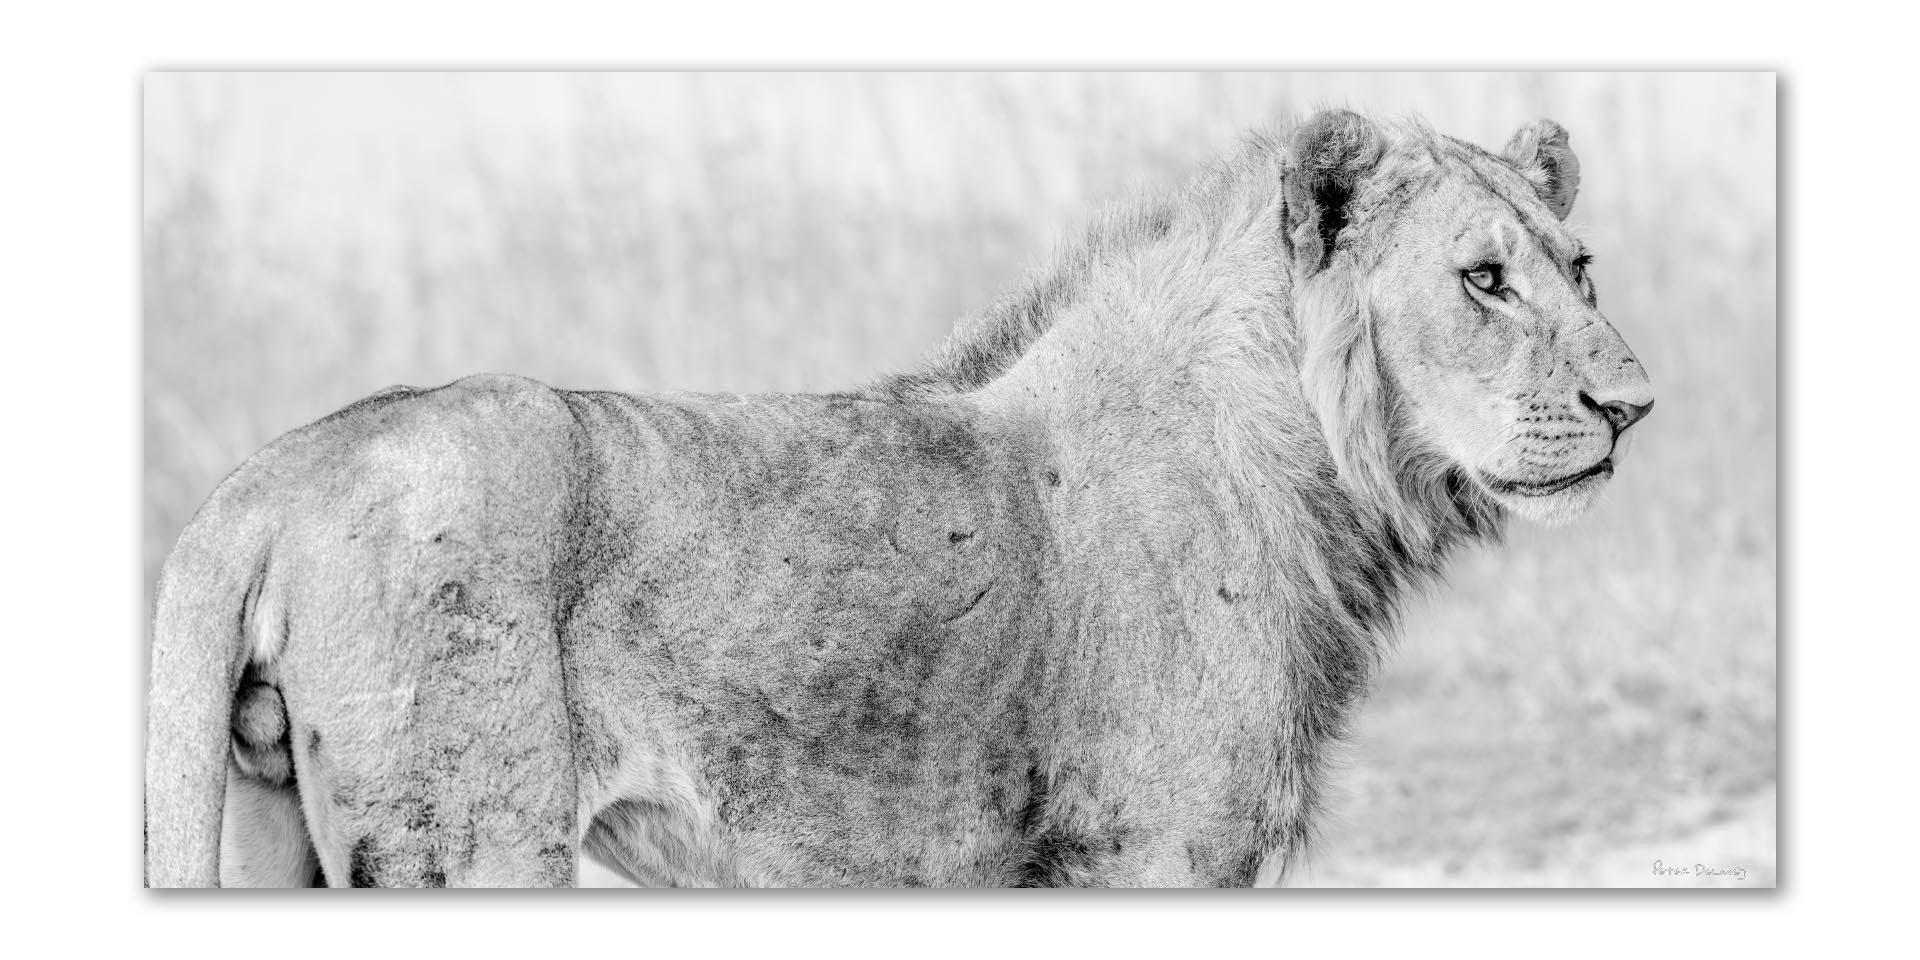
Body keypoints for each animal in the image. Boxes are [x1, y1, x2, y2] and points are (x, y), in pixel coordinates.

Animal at [145, 110, 1654, 887]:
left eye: (1581, 265)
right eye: (1482, 278)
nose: (1633, 404)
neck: (1325, 477)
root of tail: (267, 477)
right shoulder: (1157, 850)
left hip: (276, 829)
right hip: (474, 848)